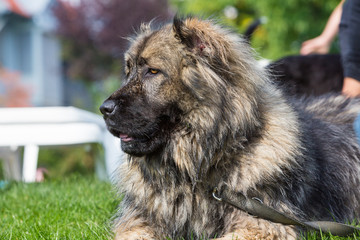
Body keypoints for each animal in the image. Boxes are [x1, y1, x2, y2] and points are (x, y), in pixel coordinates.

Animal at [100, 17, 360, 240]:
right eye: (128, 71)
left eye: (153, 71)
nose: (104, 109)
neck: (196, 171)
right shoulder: (138, 222)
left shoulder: (264, 224)